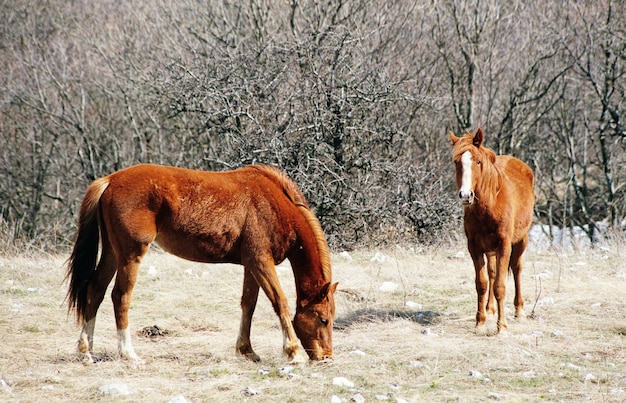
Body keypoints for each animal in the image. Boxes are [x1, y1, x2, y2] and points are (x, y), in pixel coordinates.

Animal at [65, 163, 336, 364]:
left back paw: (87, 351)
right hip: (131, 255)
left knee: (95, 291)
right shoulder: (261, 262)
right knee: (120, 297)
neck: (273, 203)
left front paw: (247, 350)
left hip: (113, 253)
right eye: (323, 319)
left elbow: (248, 305)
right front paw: (293, 352)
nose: (326, 357)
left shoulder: (250, 265)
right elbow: (280, 302)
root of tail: (110, 180)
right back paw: (128, 353)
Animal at [448, 129, 532, 334]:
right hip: (491, 249)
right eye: (456, 162)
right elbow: (483, 284)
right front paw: (480, 322)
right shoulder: (474, 247)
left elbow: (500, 286)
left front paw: (501, 327)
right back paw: (490, 309)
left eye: (478, 161)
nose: (465, 195)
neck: (490, 204)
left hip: (521, 240)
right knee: (493, 273)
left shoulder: (504, 245)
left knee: (516, 269)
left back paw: (519, 310)